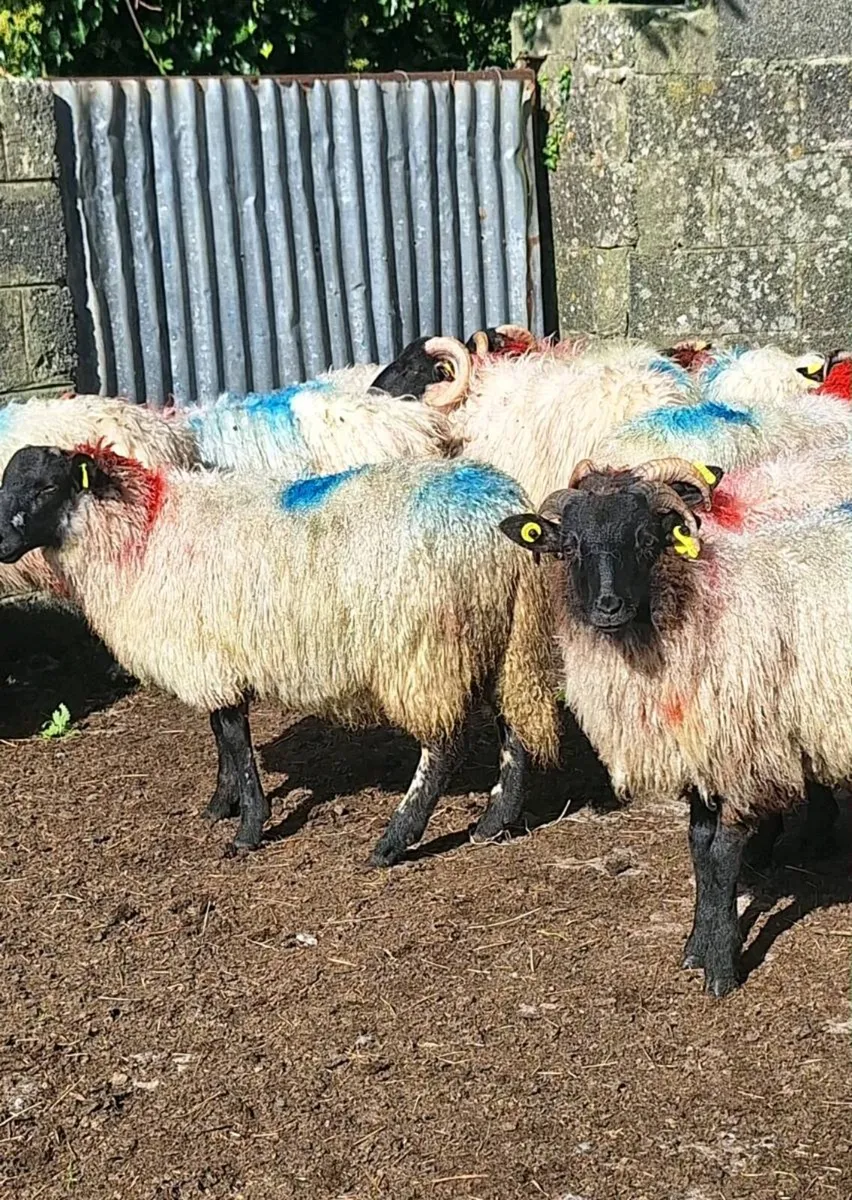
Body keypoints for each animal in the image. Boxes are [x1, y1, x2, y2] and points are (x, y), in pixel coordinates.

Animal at [0, 443, 559, 863]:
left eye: (46, 487)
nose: (2, 543)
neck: (145, 530)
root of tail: (497, 510)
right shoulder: (216, 661)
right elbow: (222, 738)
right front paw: (218, 806)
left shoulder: (209, 660)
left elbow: (236, 743)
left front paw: (247, 830)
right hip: (506, 640)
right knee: (514, 728)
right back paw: (493, 822)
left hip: (424, 650)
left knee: (444, 749)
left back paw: (392, 842)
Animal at [499, 454, 852, 996]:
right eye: (570, 544)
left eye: (646, 539)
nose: (607, 607)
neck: (695, 610)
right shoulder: (696, 758)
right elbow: (699, 850)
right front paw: (695, 946)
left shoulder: (743, 758)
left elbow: (723, 856)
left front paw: (722, 966)